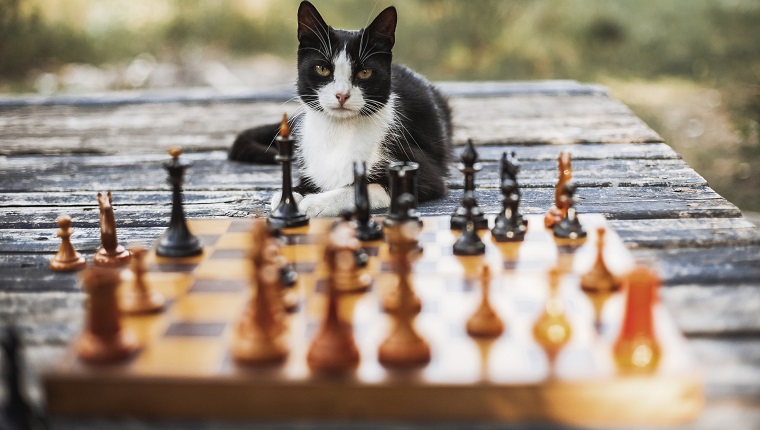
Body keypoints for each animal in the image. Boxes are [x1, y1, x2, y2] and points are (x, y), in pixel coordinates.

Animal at [226, 0, 452, 218]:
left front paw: (317, 202)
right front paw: (290, 197)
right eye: (322, 69)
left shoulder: (421, 169)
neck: (338, 131)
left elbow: (368, 186)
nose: (342, 95)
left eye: (365, 72)